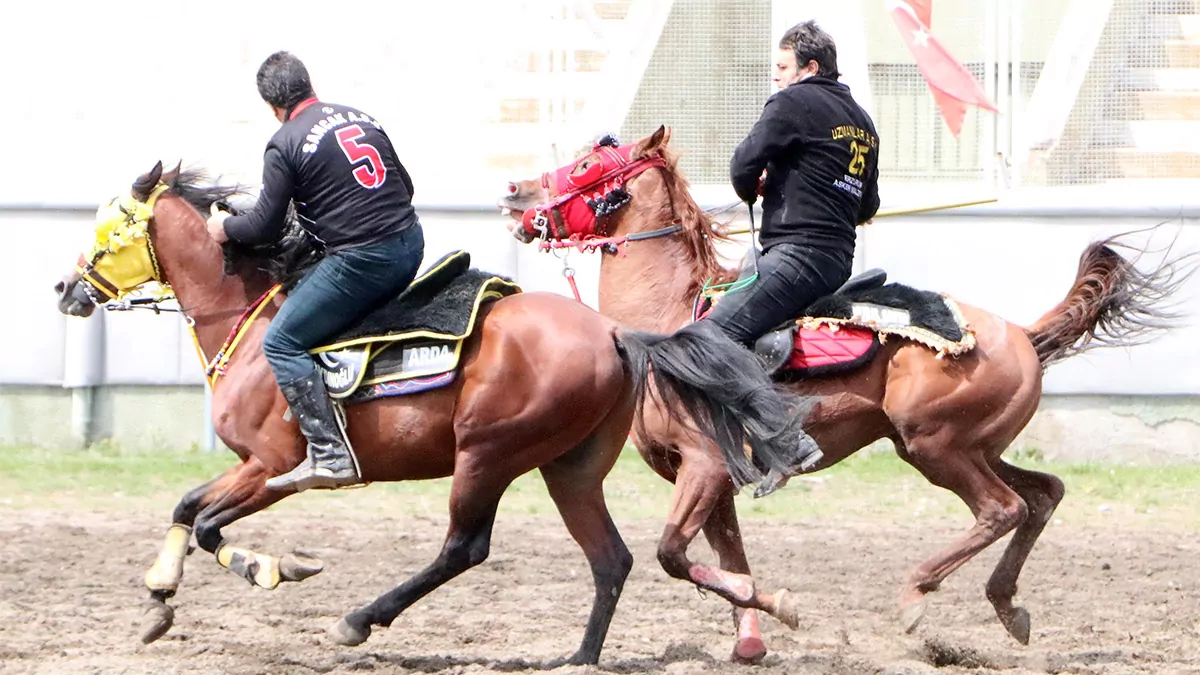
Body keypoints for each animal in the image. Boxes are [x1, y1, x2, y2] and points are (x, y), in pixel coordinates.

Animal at [54, 158, 806, 662]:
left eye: (111, 233)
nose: (66, 287)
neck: (253, 321)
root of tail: (615, 333)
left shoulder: (273, 466)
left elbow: (210, 525)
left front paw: (274, 568)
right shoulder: (248, 467)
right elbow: (186, 507)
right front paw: (158, 594)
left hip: (487, 454)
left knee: (464, 548)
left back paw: (361, 618)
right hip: (568, 469)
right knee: (612, 559)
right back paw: (592, 653)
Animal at [496, 124, 1190, 658]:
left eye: (586, 166)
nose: (513, 190)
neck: (668, 320)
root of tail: (1020, 333)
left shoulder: (704, 465)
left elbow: (673, 553)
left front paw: (779, 605)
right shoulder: (711, 477)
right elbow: (728, 556)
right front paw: (752, 635)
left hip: (936, 447)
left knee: (1004, 509)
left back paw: (915, 598)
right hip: (967, 446)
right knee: (1044, 495)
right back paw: (1008, 607)